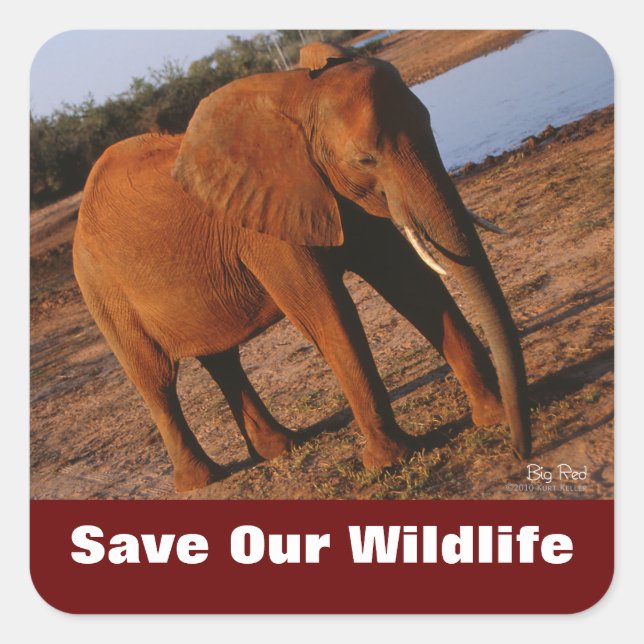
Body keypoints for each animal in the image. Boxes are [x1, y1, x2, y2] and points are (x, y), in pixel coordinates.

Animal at [73, 43, 531, 492]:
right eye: (365, 159)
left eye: (429, 124)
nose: (519, 451)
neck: (300, 98)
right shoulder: (264, 225)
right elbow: (326, 313)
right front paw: (387, 460)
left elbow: (408, 281)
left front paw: (490, 416)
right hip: (101, 291)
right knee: (157, 380)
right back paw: (201, 480)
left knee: (223, 360)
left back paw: (280, 447)